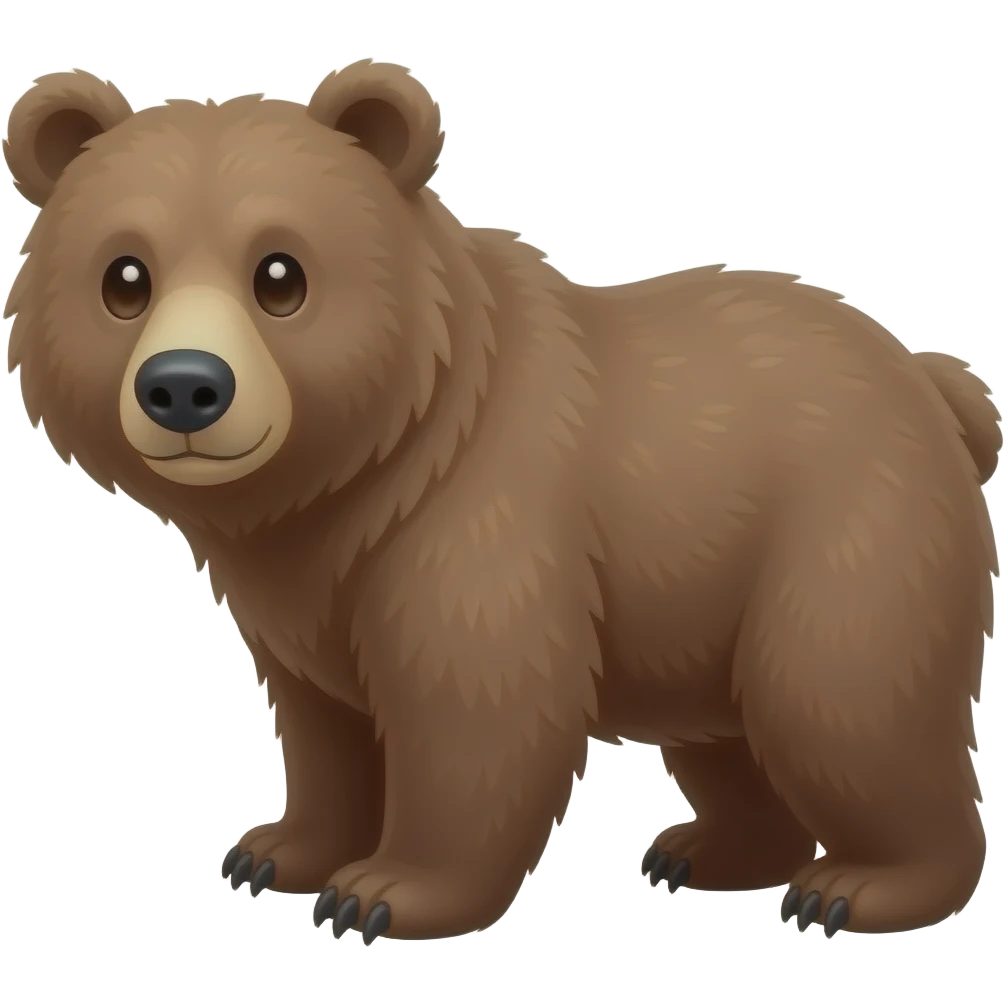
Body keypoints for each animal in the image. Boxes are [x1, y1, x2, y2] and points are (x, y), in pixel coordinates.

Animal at [2, 59, 998, 944]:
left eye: (280, 274)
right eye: (124, 276)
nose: (184, 386)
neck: (354, 477)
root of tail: (928, 379)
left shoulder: (477, 514)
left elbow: (478, 707)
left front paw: (383, 891)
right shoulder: (301, 586)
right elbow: (321, 724)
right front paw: (275, 850)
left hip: (845, 531)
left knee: (838, 701)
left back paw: (857, 884)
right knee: (728, 738)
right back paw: (705, 849)